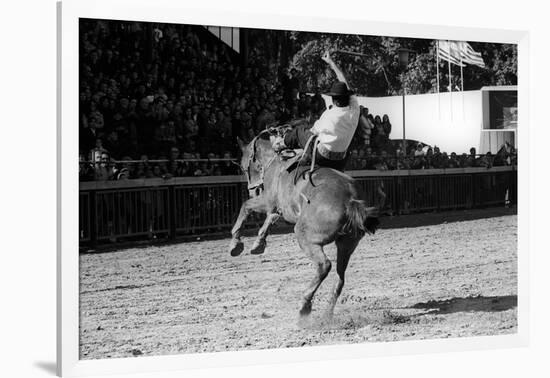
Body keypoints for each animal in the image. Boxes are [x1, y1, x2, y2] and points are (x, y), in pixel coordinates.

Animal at [231, 126, 382, 318]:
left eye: (244, 167)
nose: (252, 190)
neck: (275, 163)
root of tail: (350, 200)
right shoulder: (278, 208)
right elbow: (270, 218)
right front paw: (258, 243)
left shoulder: (268, 200)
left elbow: (246, 206)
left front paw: (235, 243)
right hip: (347, 243)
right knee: (340, 277)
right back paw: (326, 315)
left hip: (306, 237)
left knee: (324, 265)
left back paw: (305, 304)